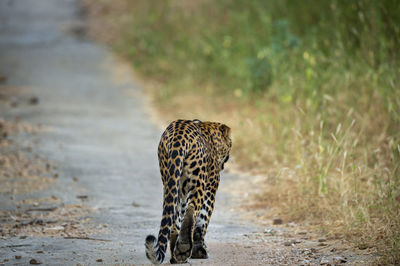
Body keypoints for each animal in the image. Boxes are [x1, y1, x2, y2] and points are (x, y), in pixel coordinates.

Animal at [145, 119, 231, 264]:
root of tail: (178, 136)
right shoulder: (210, 190)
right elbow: (202, 221)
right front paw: (199, 251)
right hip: (198, 183)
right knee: (191, 211)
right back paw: (184, 248)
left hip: (172, 184)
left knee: (175, 219)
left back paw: (176, 256)